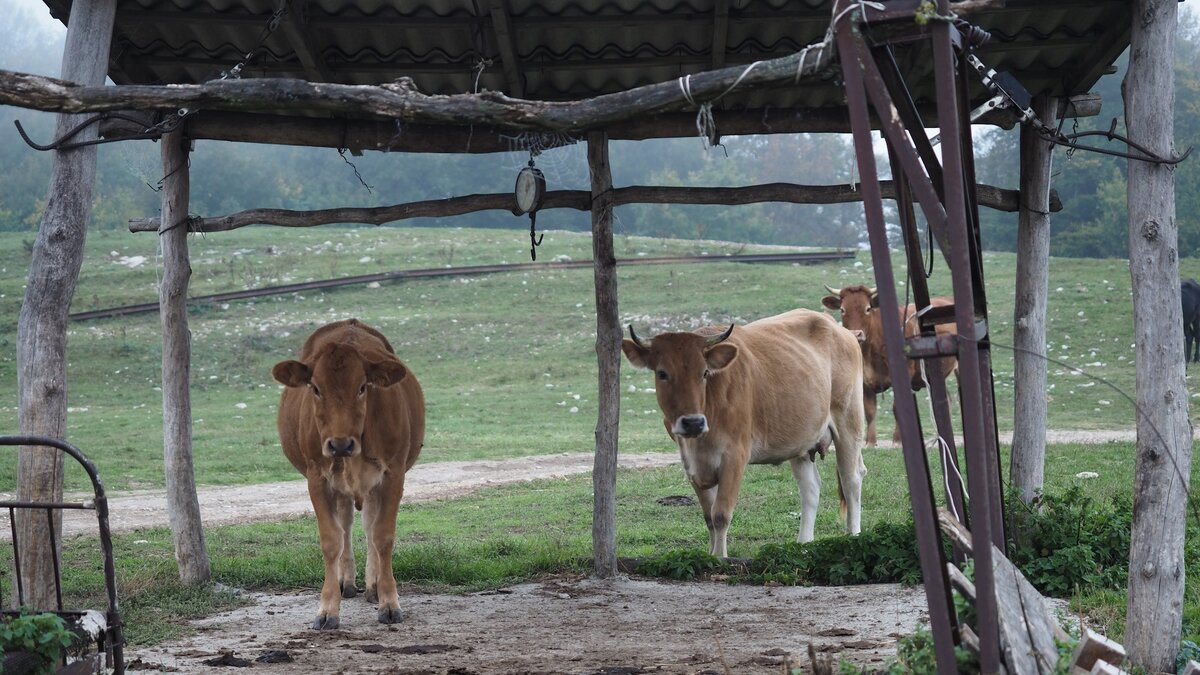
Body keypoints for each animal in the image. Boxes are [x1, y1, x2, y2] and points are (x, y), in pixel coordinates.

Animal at [273, 317, 427, 629]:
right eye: (315, 388)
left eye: (362, 387)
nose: (340, 444)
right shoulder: (317, 478)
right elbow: (332, 540)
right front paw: (327, 609)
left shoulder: (392, 476)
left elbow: (382, 535)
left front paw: (389, 602)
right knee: (345, 525)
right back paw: (346, 581)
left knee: (368, 526)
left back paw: (372, 584)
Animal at [624, 307, 868, 554]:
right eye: (662, 373)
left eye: (704, 373)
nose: (693, 422)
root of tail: (839, 329)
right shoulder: (691, 463)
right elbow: (708, 516)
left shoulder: (735, 456)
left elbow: (721, 515)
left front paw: (719, 557)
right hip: (801, 441)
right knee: (810, 488)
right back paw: (804, 543)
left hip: (849, 422)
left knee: (851, 479)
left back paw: (854, 535)